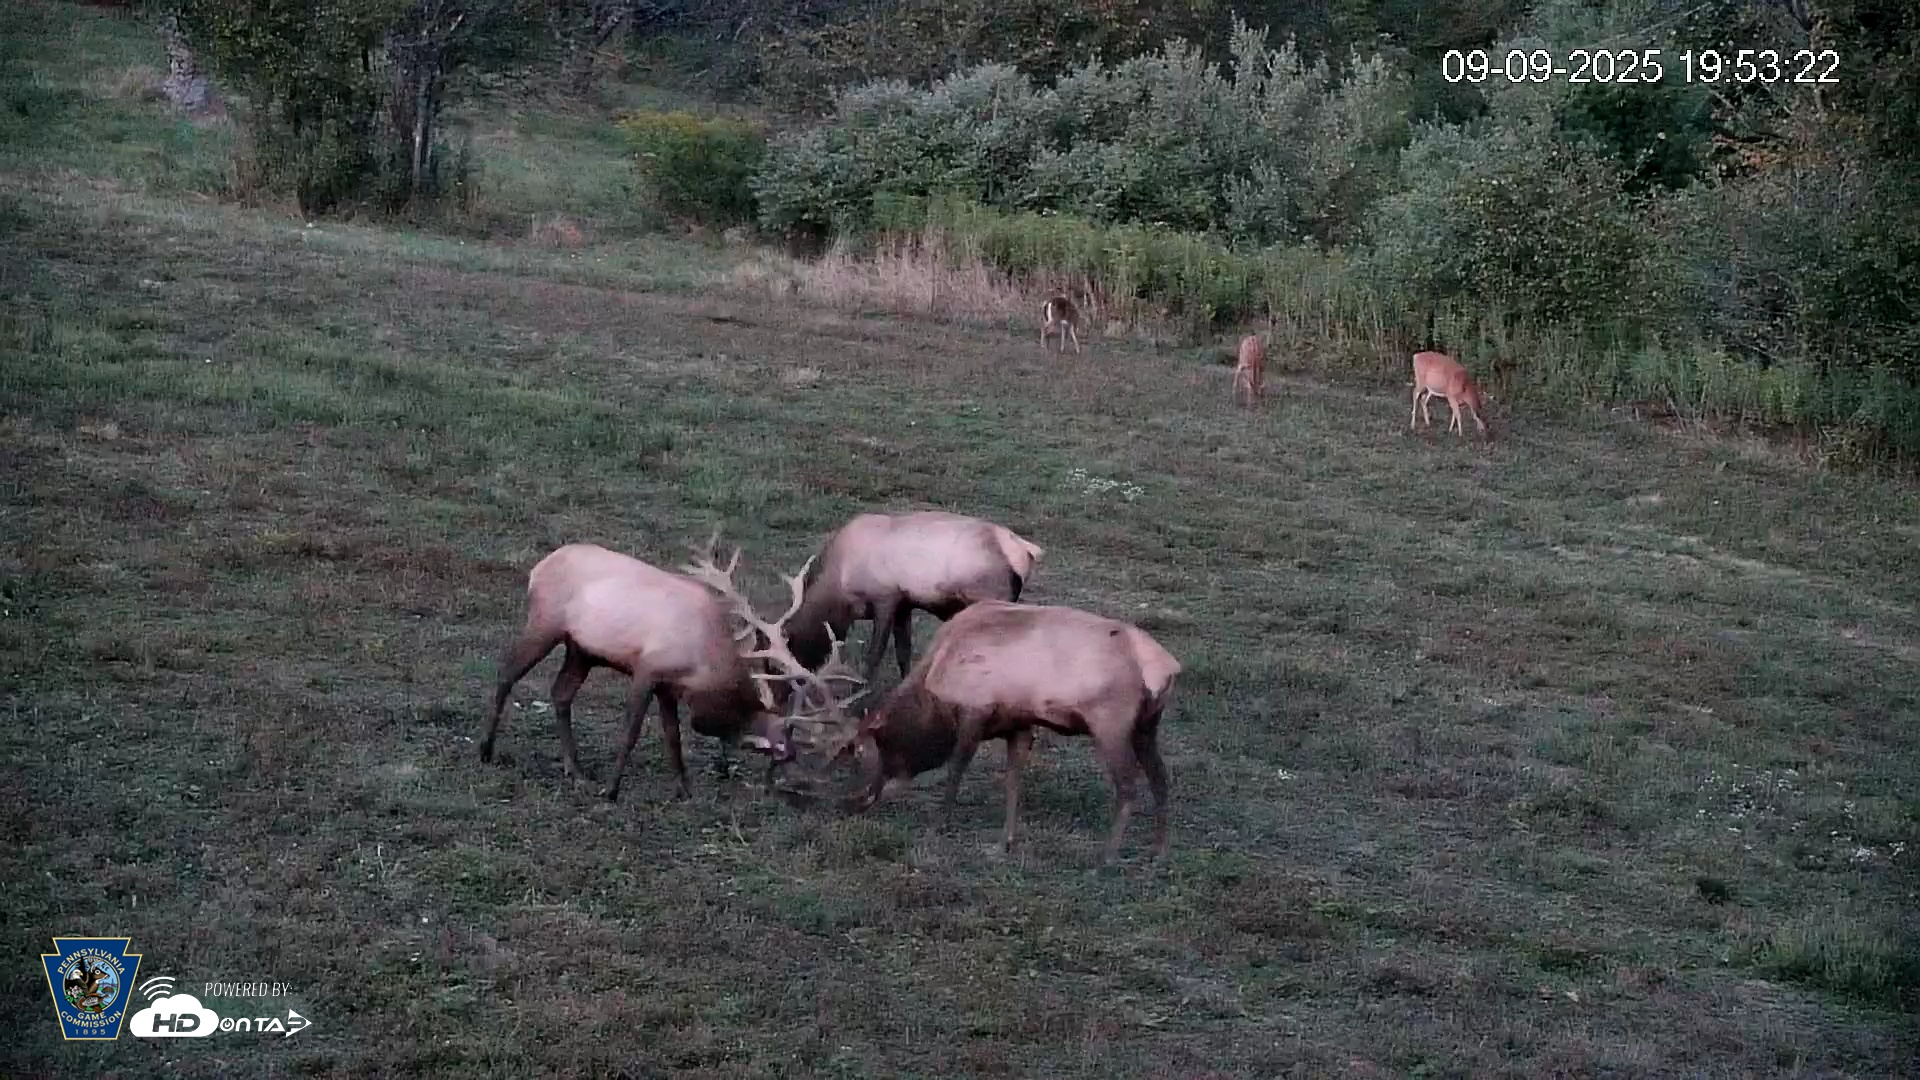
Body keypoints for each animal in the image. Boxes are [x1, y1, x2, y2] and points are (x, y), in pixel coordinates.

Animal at [479, 538, 866, 803]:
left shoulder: (668, 686)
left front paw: (684, 789)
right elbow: (631, 731)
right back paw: (486, 751)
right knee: (506, 673)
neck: (705, 665)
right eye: (778, 756)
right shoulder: (647, 669)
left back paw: (574, 770)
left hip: (581, 650)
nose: (774, 788)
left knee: (560, 693)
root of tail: (538, 569)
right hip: (544, 624)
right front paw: (611, 790)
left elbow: (673, 735)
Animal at [773, 511, 1044, 696]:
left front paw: (859, 697)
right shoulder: (904, 606)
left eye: (779, 666)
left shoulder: (885, 599)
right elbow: (903, 653)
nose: (776, 702)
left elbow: (874, 655)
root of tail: (1026, 552)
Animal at [826, 599, 1182, 863]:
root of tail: (1167, 670)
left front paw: (939, 825)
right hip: (1147, 726)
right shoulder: (1019, 723)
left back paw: (1107, 856)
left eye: (858, 749)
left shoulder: (975, 711)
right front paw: (1005, 841)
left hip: (1110, 722)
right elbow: (1012, 779)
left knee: (1128, 785)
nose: (849, 802)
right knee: (1161, 778)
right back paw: (1159, 851)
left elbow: (955, 769)